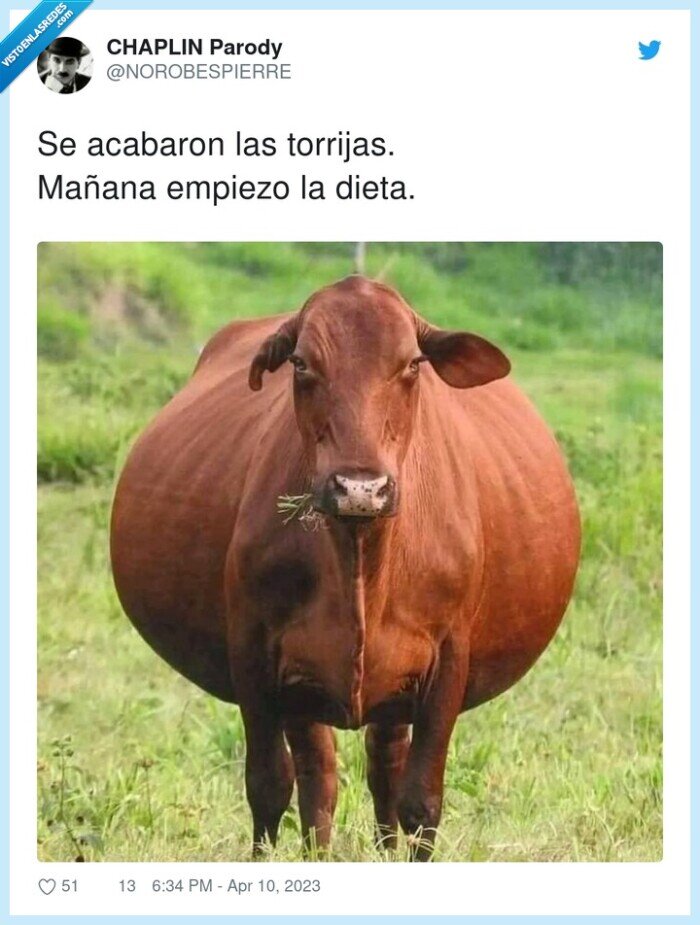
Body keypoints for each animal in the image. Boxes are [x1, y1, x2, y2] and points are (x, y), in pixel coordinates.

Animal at [110, 276, 580, 860]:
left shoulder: (449, 660)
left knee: (383, 767)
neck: (360, 556)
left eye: (412, 363)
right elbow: (269, 785)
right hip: (305, 685)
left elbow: (421, 802)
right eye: (302, 363)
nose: (360, 488)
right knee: (321, 778)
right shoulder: (254, 655)